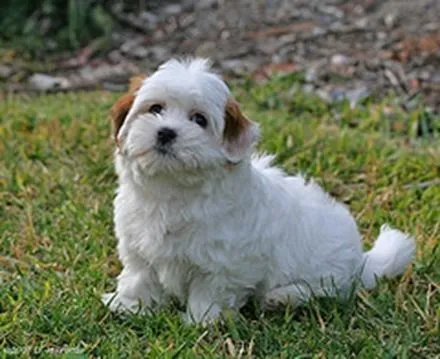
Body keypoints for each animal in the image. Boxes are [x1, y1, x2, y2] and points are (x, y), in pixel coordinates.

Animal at [103, 58, 416, 324]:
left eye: (199, 120)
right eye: (155, 109)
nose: (166, 132)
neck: (171, 188)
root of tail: (360, 261)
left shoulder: (225, 263)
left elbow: (210, 291)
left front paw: (199, 323)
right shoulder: (137, 246)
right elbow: (139, 278)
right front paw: (129, 306)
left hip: (328, 274)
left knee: (325, 291)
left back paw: (282, 298)